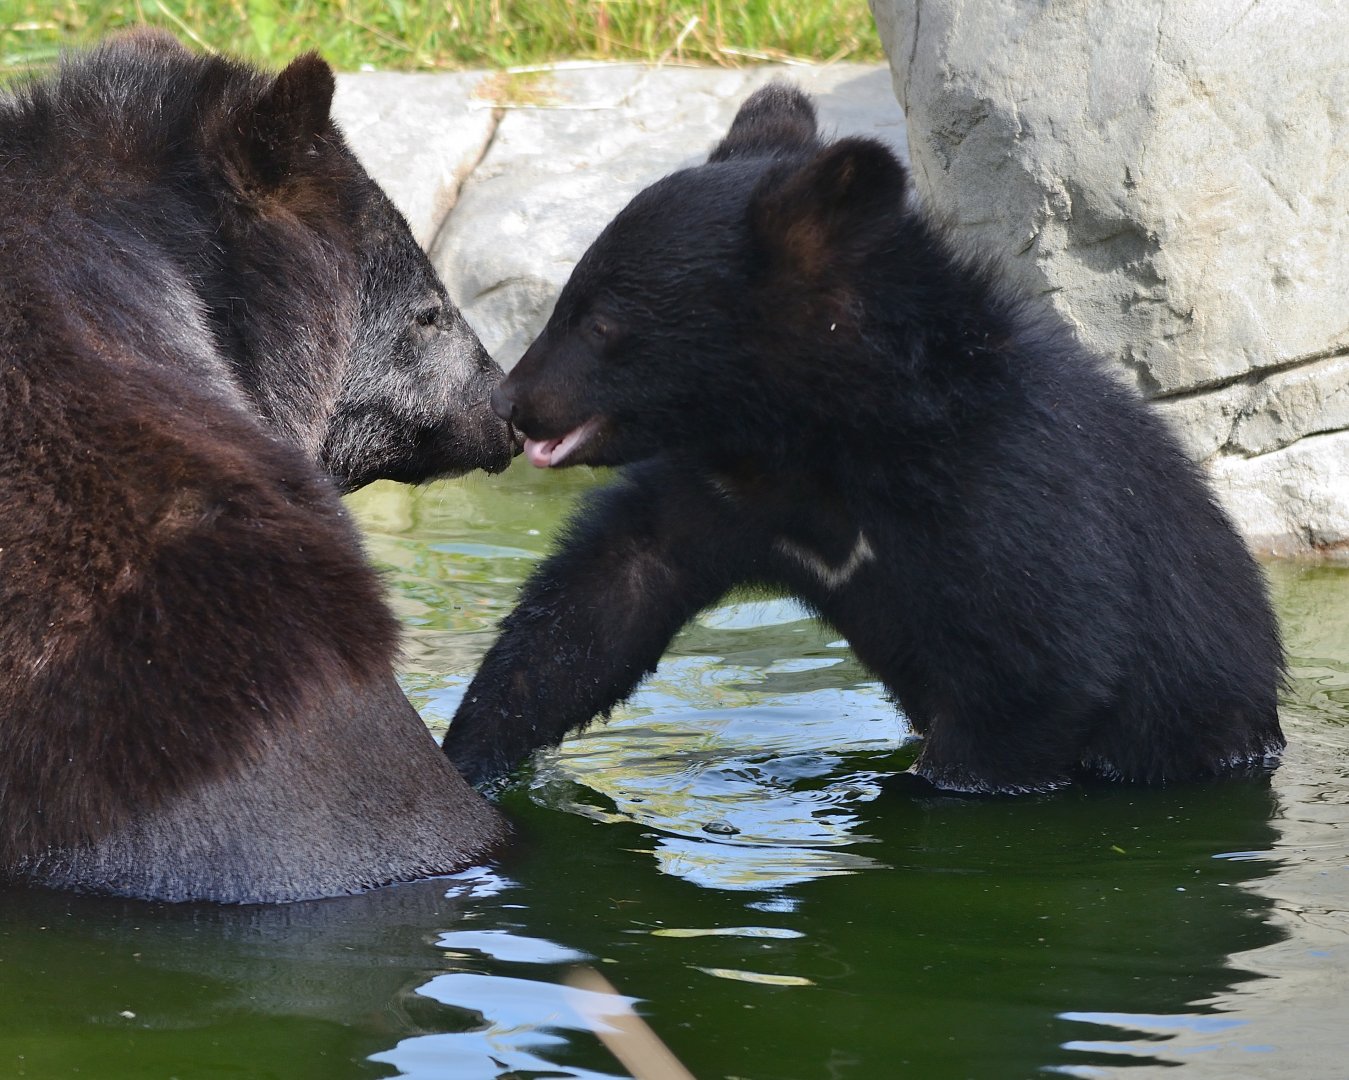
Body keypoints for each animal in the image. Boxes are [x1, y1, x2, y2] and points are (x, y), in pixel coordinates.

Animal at [443, 84, 1286, 794]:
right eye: (566, 301)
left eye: (600, 323)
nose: (509, 402)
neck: (822, 435)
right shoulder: (720, 489)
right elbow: (602, 597)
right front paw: (466, 752)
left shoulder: (1006, 488)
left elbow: (1041, 663)